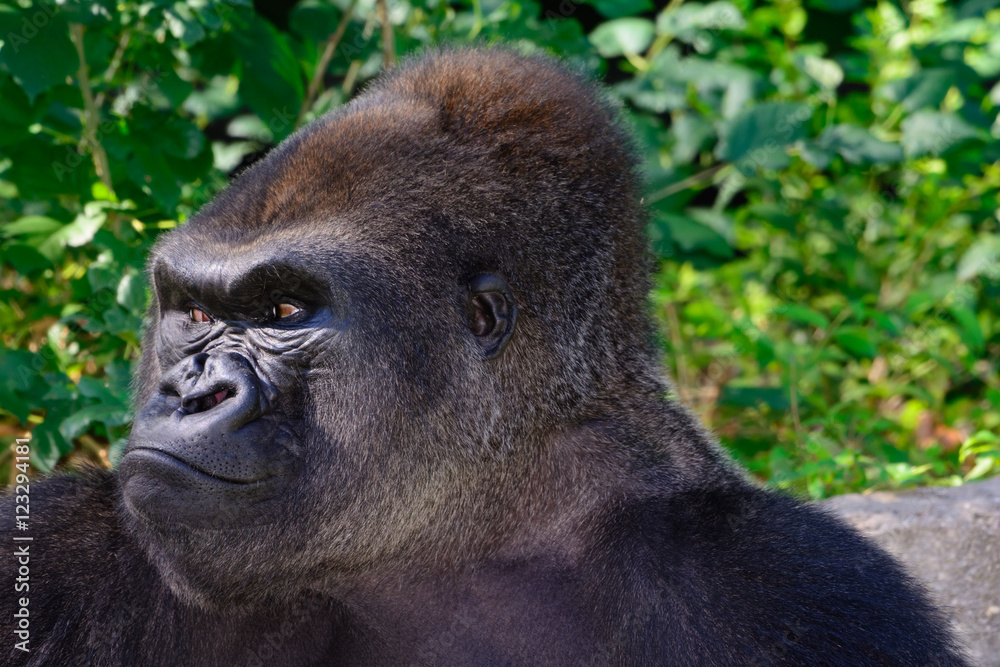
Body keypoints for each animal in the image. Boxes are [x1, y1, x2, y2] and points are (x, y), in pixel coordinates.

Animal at [1, 47, 966, 666]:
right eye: (194, 311)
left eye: (283, 311)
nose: (186, 390)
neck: (468, 521)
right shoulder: (64, 543)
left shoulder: (786, 587)